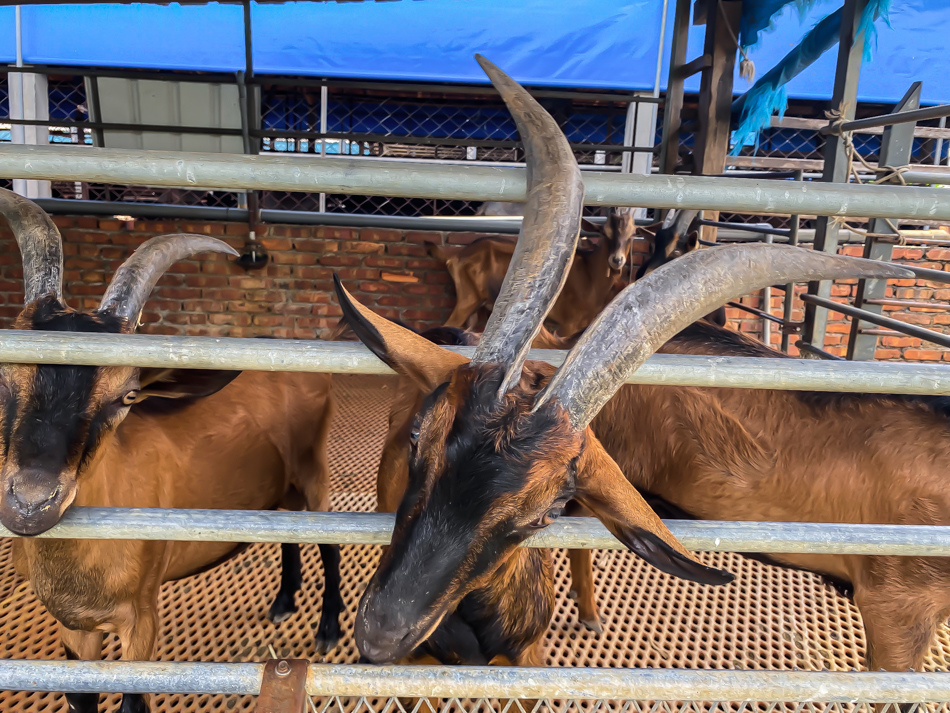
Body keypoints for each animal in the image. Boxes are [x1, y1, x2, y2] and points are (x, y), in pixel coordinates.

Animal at [0, 191, 342, 712]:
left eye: (128, 395)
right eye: (4, 375)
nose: (31, 502)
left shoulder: (142, 618)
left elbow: (134, 700)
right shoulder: (73, 629)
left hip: (314, 466)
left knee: (329, 542)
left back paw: (328, 630)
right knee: (287, 528)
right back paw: (284, 603)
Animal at [436, 207, 636, 336]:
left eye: (633, 234)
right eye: (605, 233)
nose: (617, 260)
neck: (590, 274)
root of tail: (456, 256)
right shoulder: (569, 323)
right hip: (467, 299)